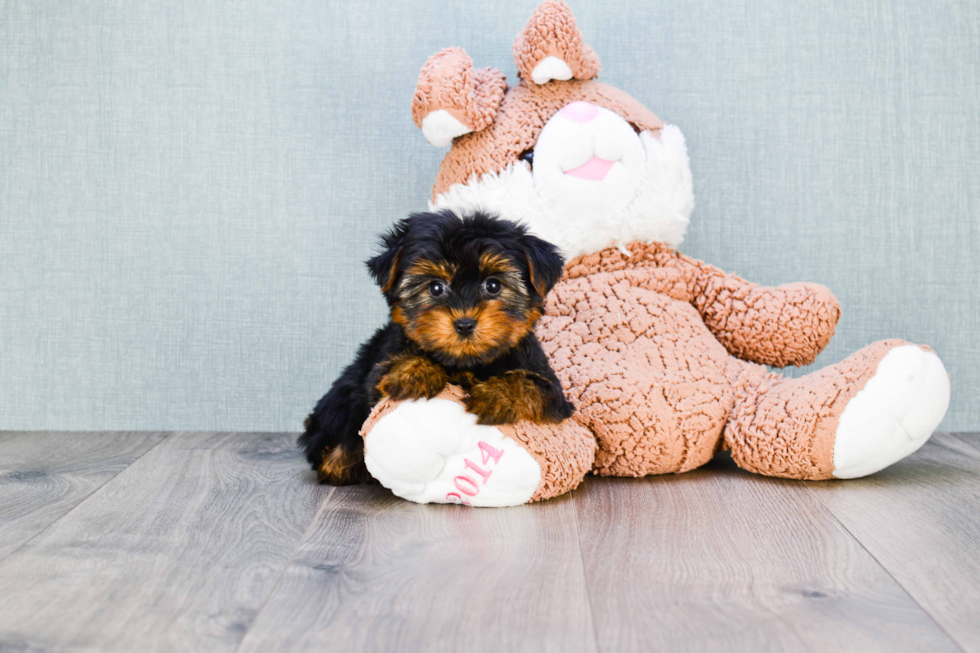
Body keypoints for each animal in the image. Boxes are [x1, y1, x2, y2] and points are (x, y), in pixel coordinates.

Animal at [298, 209, 576, 484]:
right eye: (435, 287)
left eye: (493, 285)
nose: (464, 323)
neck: (466, 362)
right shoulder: (378, 373)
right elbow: (384, 381)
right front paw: (414, 373)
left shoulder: (553, 391)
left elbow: (531, 384)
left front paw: (497, 395)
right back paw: (340, 459)